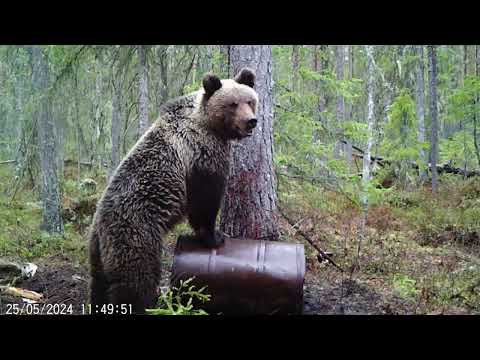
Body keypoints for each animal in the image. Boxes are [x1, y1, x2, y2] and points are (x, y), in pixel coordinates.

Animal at [89, 69, 258, 314]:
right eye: (233, 104)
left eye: (250, 101)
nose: (251, 122)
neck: (209, 125)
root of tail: (101, 227)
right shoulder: (201, 155)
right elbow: (205, 201)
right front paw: (215, 236)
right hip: (136, 232)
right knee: (136, 280)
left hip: (97, 250)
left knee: (99, 283)